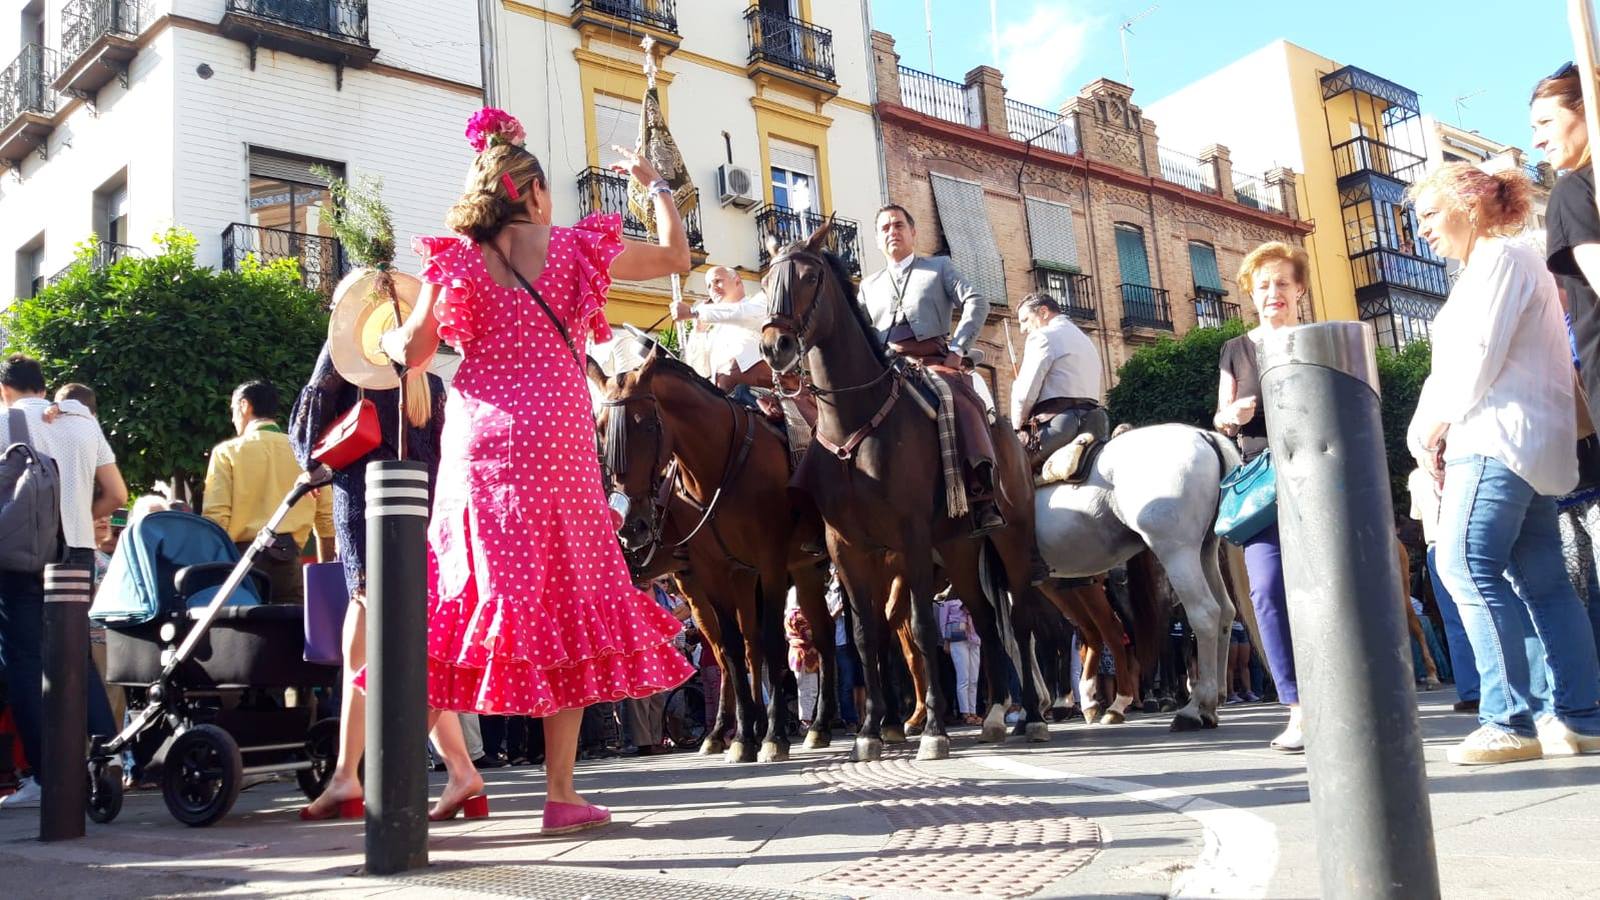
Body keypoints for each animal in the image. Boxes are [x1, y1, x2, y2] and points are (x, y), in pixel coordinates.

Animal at [592, 349, 838, 755]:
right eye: (600, 427)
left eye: (647, 425)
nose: (632, 526)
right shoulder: (715, 571)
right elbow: (735, 650)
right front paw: (744, 737)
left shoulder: (769, 563)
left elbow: (769, 643)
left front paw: (772, 736)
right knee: (749, 647)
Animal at [758, 229, 1049, 755]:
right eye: (769, 281)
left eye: (808, 276)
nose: (775, 345)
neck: (854, 421)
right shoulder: (847, 547)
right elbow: (865, 634)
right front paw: (870, 731)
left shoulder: (910, 538)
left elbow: (922, 624)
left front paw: (932, 729)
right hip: (958, 548)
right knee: (984, 618)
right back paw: (996, 716)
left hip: (1011, 538)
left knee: (1020, 620)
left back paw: (1032, 718)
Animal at [1030, 422, 1241, 730]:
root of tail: (1205, 435)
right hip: (1204, 550)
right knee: (1224, 611)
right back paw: (1207, 705)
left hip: (1175, 552)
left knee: (1200, 615)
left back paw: (1189, 708)